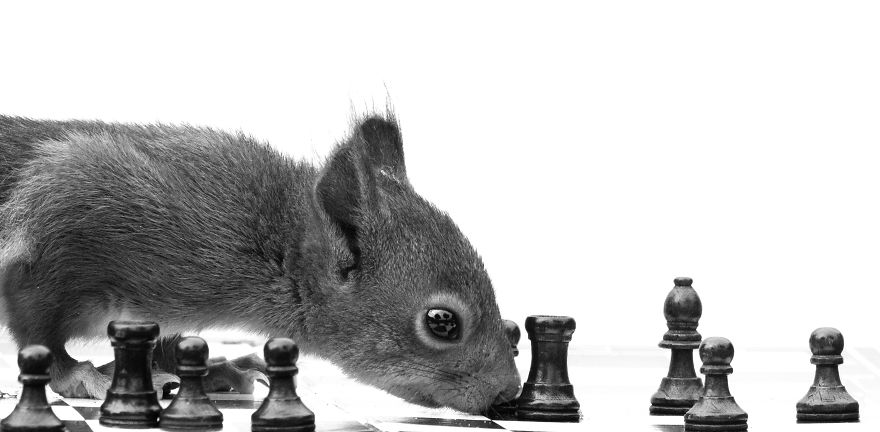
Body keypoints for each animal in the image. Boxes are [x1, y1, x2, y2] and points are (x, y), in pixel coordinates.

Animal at [0, 114, 521, 413]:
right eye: (442, 322)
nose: (507, 394)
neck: (273, 246)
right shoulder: (58, 222)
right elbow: (38, 331)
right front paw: (83, 375)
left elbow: (167, 344)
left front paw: (216, 370)